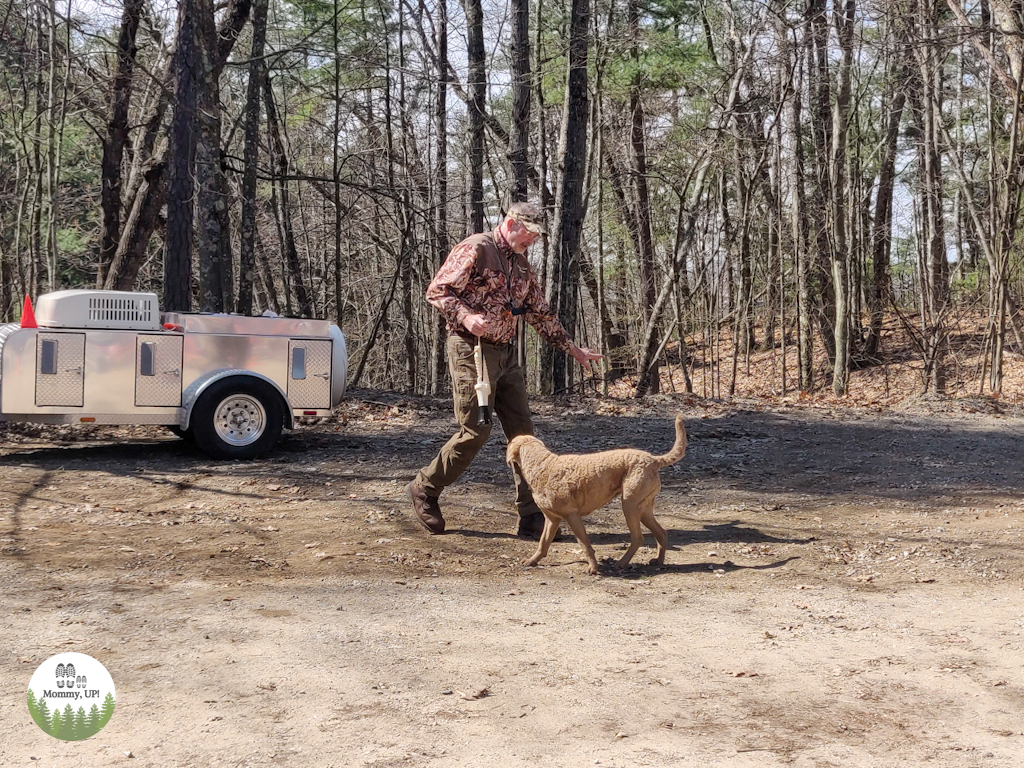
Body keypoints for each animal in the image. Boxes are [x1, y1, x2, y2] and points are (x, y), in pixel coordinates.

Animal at [505, 417, 688, 573]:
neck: (542, 465)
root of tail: (654, 460)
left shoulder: (572, 516)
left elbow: (585, 544)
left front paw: (593, 568)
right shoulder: (552, 519)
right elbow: (543, 543)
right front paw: (531, 561)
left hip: (630, 506)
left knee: (638, 538)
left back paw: (621, 563)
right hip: (643, 509)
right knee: (661, 533)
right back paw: (658, 561)